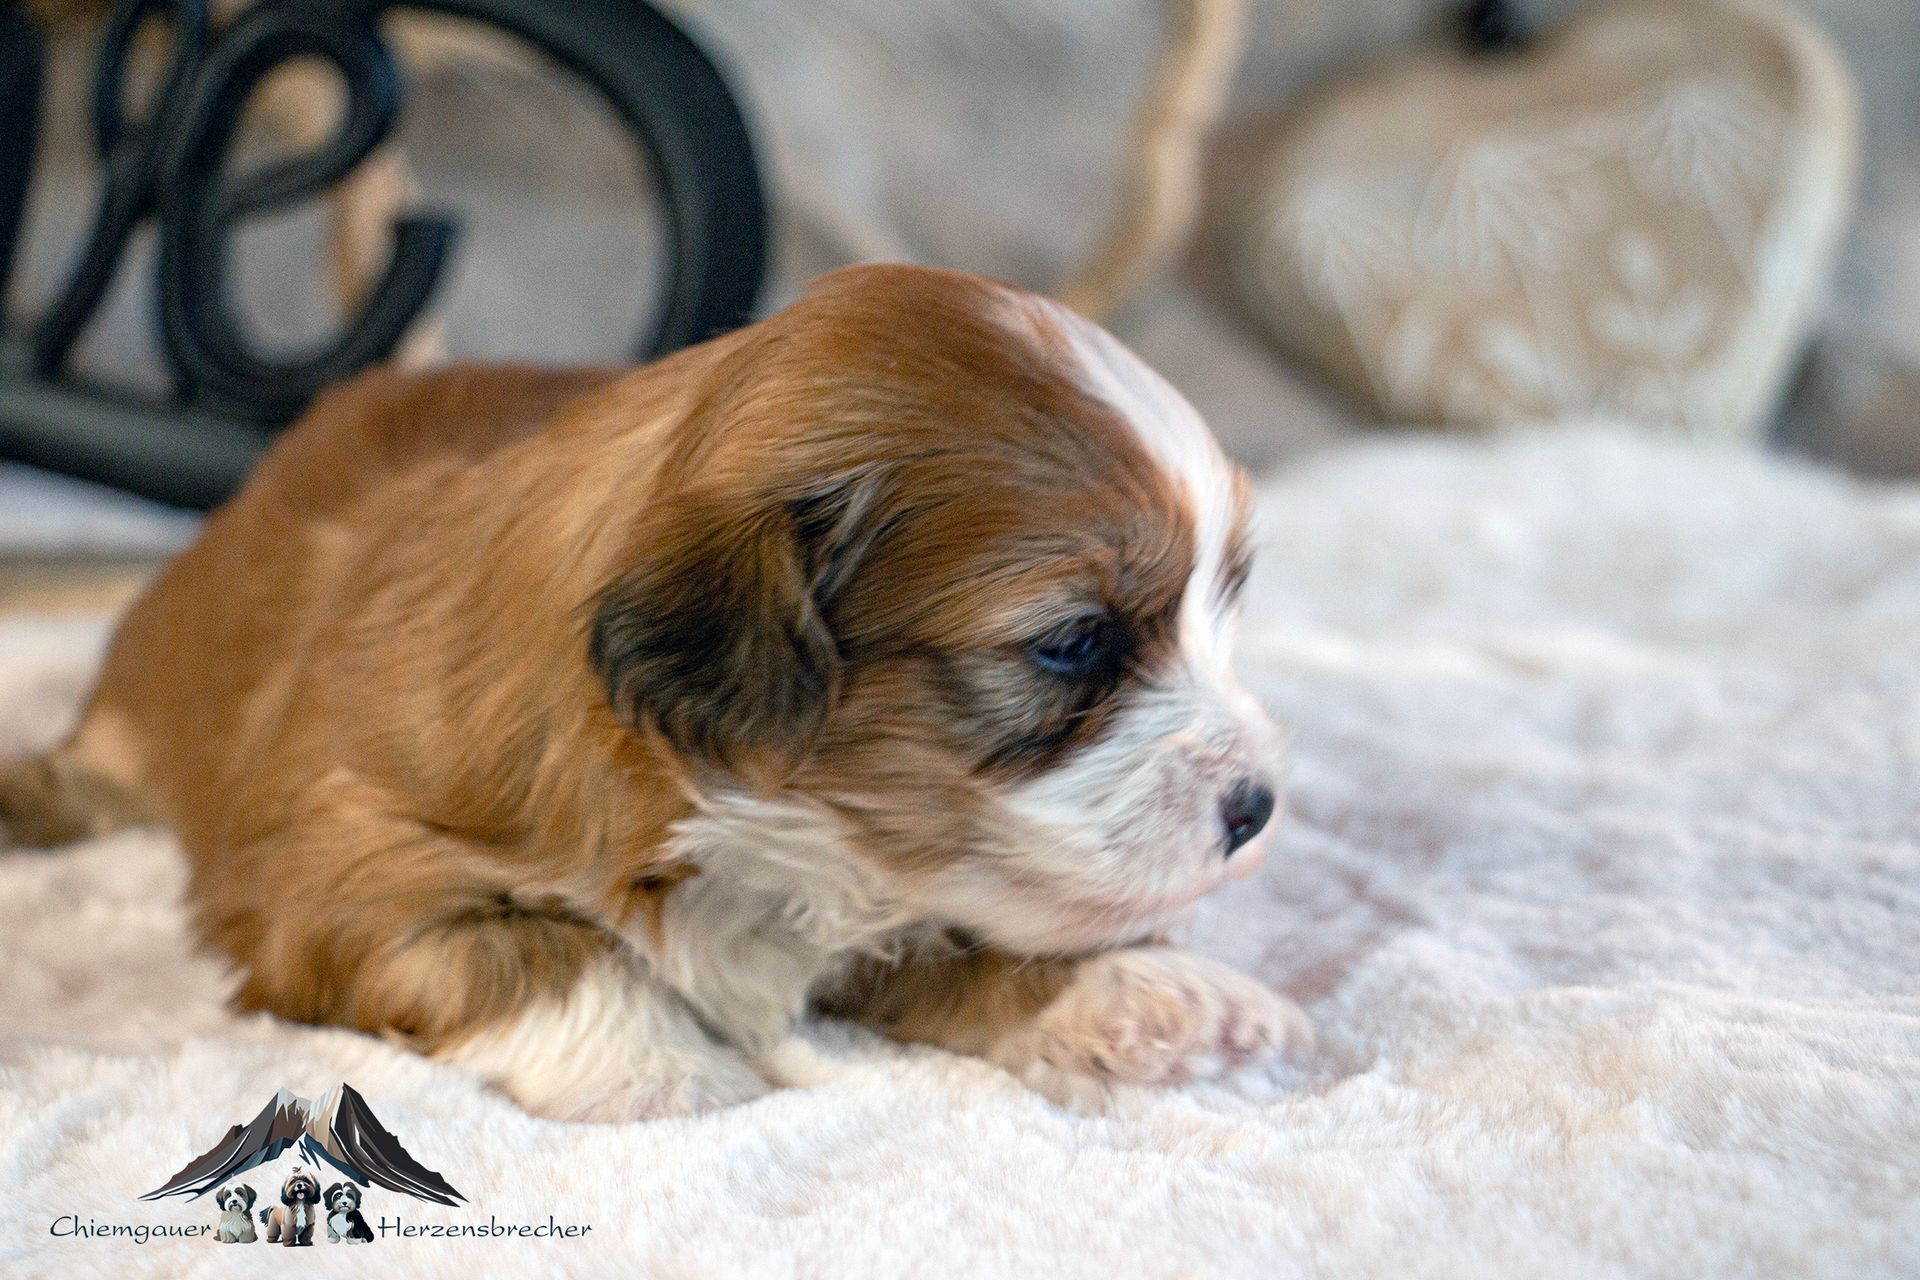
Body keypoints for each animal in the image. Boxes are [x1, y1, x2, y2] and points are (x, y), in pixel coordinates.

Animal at [1, 264, 1310, 1118]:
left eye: (1226, 600)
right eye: (1074, 643)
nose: (1257, 806)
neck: (774, 836)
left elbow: (973, 935)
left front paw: (1150, 990)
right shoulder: (330, 875)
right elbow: (539, 950)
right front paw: (669, 1071)